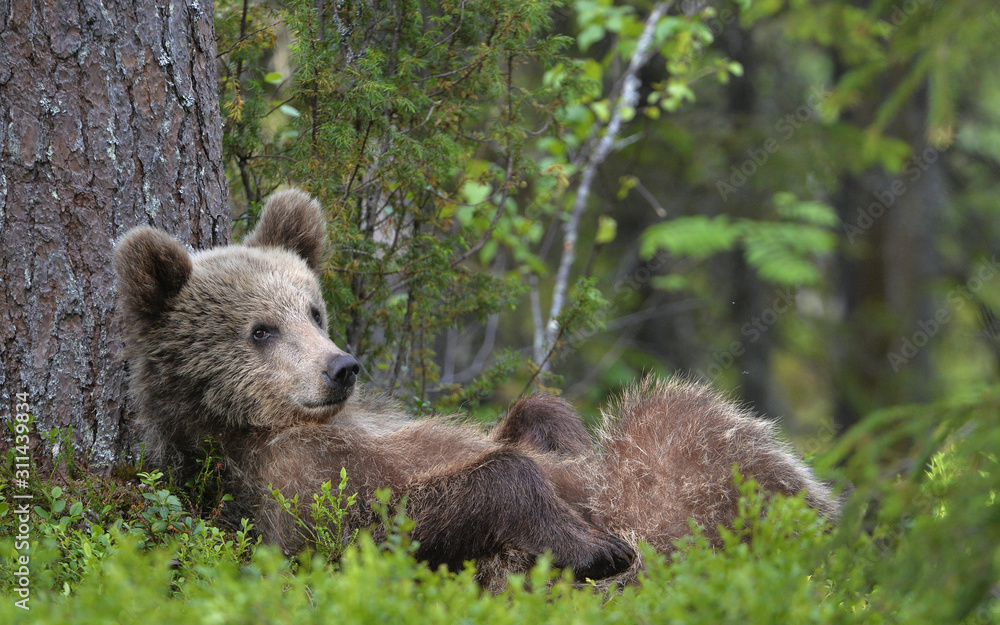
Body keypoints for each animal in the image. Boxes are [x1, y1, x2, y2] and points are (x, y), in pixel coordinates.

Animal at [113, 189, 838, 586]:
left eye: (313, 310)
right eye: (261, 329)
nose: (341, 367)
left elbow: (533, 419)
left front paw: (558, 435)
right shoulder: (290, 488)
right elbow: (399, 516)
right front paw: (595, 545)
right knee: (678, 426)